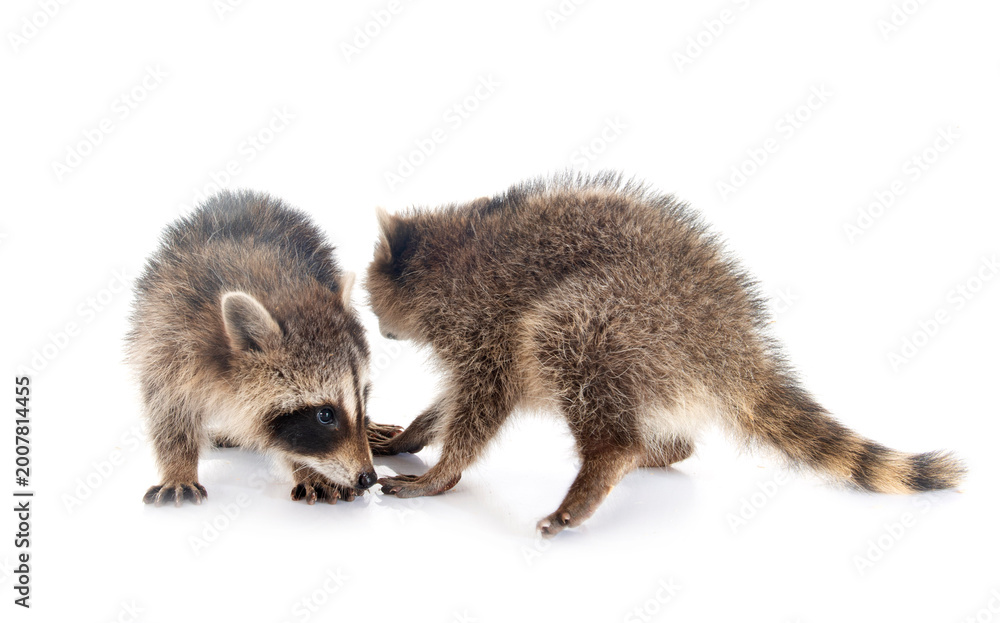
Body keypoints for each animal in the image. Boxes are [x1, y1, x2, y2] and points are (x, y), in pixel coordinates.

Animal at [127, 190, 401, 507]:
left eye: (363, 398)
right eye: (325, 415)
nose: (369, 477)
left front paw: (310, 470)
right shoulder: (169, 332)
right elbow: (168, 409)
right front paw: (178, 467)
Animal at [366, 172, 965, 536]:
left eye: (372, 304)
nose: (378, 327)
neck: (450, 249)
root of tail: (732, 343)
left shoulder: (483, 322)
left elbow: (481, 401)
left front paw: (442, 471)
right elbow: (450, 400)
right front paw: (414, 432)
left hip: (630, 319)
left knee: (562, 335)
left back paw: (608, 459)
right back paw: (658, 449)